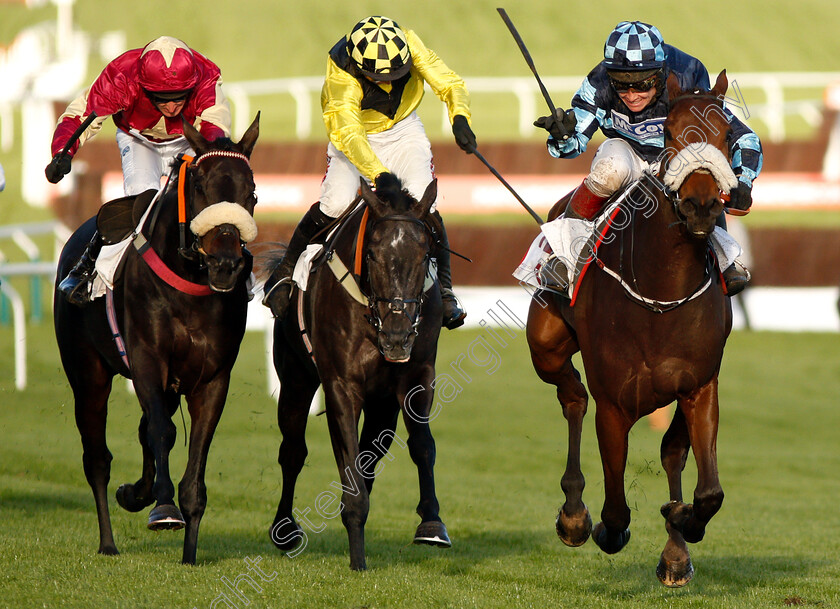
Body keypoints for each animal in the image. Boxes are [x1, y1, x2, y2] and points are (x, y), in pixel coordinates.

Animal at [52, 115, 260, 564]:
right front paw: (163, 507)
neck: (191, 284)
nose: (226, 264)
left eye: (250, 191)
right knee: (97, 457)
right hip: (88, 375)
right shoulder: (147, 360)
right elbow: (162, 432)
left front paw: (189, 551)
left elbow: (192, 448)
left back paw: (135, 493)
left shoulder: (212, 379)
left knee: (147, 426)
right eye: (200, 187)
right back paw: (108, 541)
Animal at [268, 172, 452, 568]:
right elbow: (345, 460)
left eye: (426, 253)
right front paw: (357, 558)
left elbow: (422, 445)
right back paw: (284, 529)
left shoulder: (417, 377)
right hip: (295, 379)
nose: (397, 336)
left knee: (371, 452)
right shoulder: (341, 384)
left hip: (382, 405)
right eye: (371, 254)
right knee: (292, 450)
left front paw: (431, 523)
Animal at [532, 72, 736, 588]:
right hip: (545, 346)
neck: (660, 293)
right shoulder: (614, 403)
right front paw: (601, 525)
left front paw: (681, 523)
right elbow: (616, 514)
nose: (701, 205)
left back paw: (675, 552)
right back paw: (574, 515)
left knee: (670, 451)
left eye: (727, 136)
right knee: (572, 397)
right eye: (671, 133)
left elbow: (707, 491)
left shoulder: (699, 385)